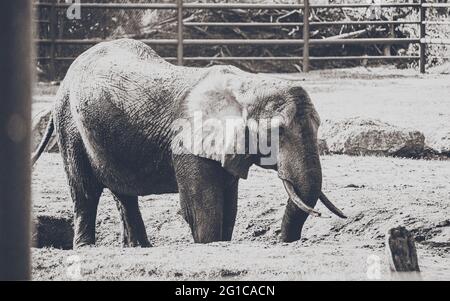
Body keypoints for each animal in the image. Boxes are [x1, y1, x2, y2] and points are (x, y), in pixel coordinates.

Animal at [33, 38, 346, 247]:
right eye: (278, 131)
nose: (284, 242)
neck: (247, 86)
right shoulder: (187, 144)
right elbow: (201, 208)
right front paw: (210, 244)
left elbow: (228, 205)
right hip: (70, 124)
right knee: (85, 191)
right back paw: (87, 248)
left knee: (124, 193)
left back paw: (140, 247)